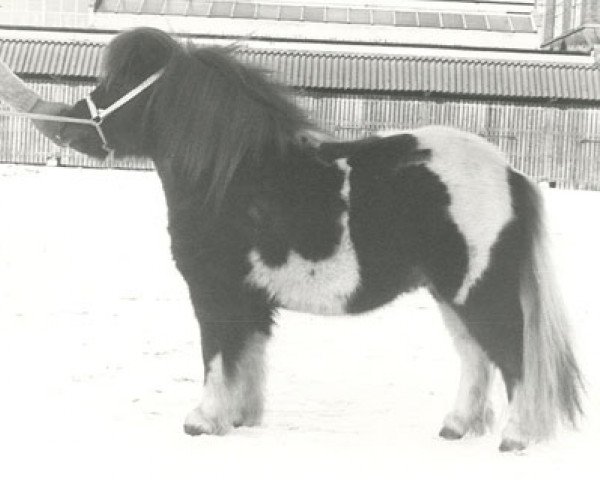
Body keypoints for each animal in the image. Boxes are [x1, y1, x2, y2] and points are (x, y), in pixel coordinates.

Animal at [56, 28, 580, 452]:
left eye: (120, 83)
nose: (66, 127)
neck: (232, 178)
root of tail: (509, 173)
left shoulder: (215, 293)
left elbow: (216, 355)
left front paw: (203, 421)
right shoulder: (252, 301)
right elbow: (247, 358)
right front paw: (240, 418)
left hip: (479, 291)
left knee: (513, 356)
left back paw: (515, 437)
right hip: (451, 293)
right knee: (476, 356)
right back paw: (456, 426)